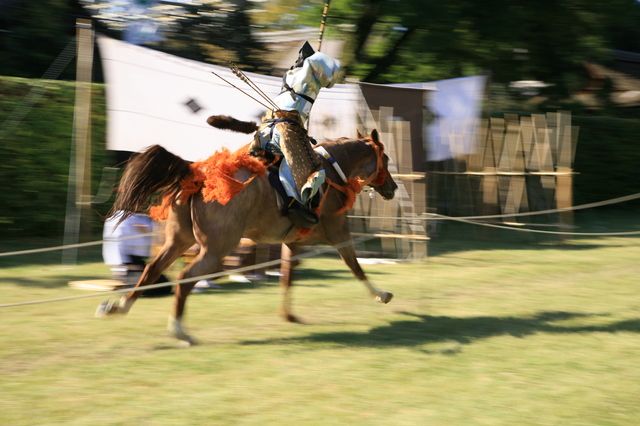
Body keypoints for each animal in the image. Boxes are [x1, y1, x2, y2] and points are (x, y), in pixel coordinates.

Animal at [96, 128, 396, 344]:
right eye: (386, 160)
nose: (392, 188)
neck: (333, 173)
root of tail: (197, 174)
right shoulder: (338, 232)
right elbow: (355, 266)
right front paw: (381, 294)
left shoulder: (292, 242)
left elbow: (287, 275)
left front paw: (288, 315)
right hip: (216, 249)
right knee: (184, 278)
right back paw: (179, 330)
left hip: (179, 240)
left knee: (151, 270)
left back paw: (119, 307)